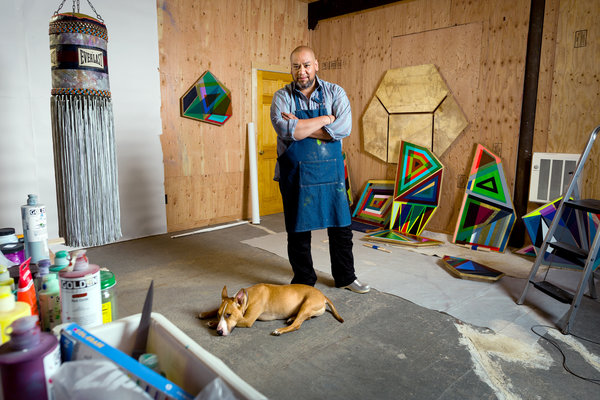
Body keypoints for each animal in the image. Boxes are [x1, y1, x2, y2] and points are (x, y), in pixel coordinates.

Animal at [199, 282, 344, 336]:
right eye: (219, 315)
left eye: (229, 315)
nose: (219, 332)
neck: (247, 297)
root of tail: (323, 296)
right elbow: (214, 309)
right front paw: (206, 315)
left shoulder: (248, 320)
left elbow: (239, 320)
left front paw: (212, 323)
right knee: (303, 318)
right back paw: (291, 318)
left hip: (306, 304)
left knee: (298, 324)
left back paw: (280, 330)